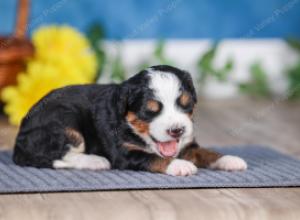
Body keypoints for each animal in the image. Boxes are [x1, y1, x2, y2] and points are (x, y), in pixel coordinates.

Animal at [12, 65, 246, 177]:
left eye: (186, 104)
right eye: (150, 111)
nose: (177, 130)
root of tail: (19, 143)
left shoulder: (187, 145)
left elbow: (206, 152)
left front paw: (230, 159)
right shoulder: (125, 153)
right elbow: (153, 158)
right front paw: (179, 165)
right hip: (63, 121)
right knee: (60, 156)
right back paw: (96, 161)